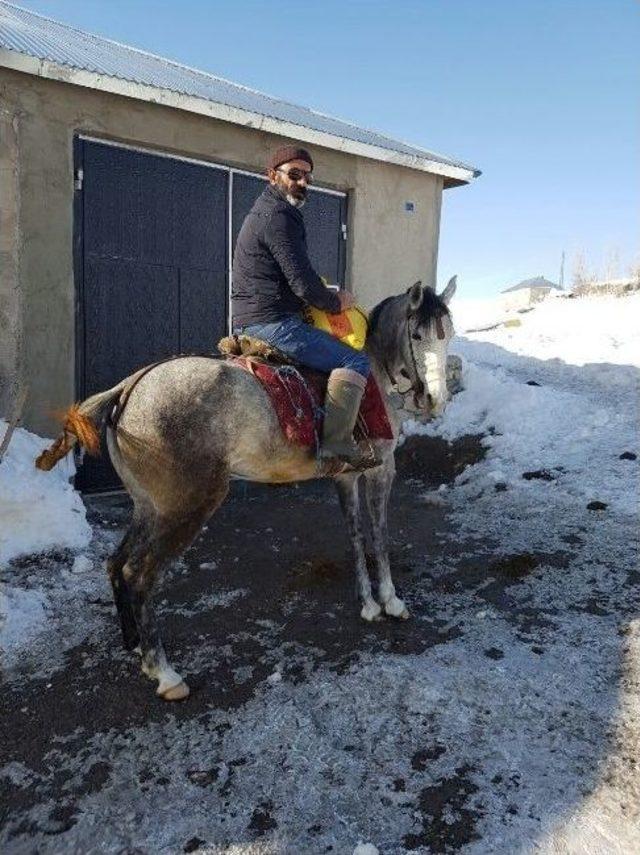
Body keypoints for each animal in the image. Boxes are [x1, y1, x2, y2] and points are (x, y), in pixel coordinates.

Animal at [36, 278, 456, 700]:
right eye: (417, 335)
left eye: (449, 335)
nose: (435, 400)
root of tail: (129, 387)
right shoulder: (382, 469)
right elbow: (380, 536)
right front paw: (391, 602)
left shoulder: (347, 476)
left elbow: (355, 535)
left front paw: (367, 603)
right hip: (185, 507)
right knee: (139, 573)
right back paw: (165, 673)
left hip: (148, 507)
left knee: (116, 563)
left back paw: (135, 643)